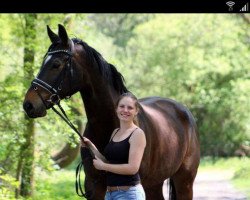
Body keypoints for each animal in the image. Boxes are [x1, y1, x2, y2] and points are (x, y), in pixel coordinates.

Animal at [23, 24, 199, 199]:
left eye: (56, 64)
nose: (28, 105)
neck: (108, 124)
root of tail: (182, 110)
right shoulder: (93, 186)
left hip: (184, 181)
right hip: (154, 184)